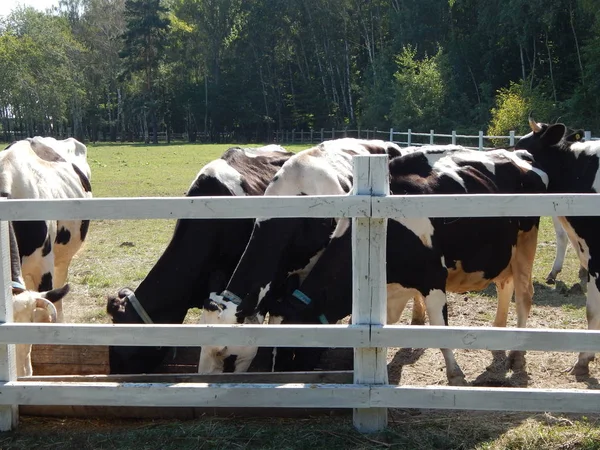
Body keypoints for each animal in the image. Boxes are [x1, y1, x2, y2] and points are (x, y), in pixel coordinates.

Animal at [272, 147, 548, 384]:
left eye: (291, 349)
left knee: (524, 295)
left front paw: (455, 375)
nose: (281, 374)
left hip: (526, 244)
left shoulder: (433, 278)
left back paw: (517, 356)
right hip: (503, 254)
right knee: (505, 286)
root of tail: (518, 155)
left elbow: (440, 328)